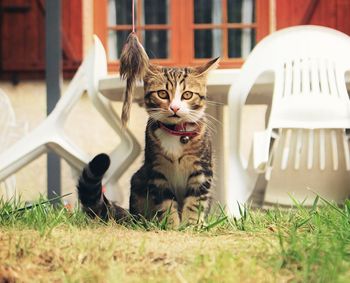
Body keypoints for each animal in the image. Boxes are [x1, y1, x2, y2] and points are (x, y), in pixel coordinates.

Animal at [78, 33, 217, 229]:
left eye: (187, 95)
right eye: (163, 94)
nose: (175, 107)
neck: (175, 133)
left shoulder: (202, 171)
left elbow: (195, 203)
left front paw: (190, 226)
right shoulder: (157, 170)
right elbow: (166, 202)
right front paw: (172, 226)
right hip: (139, 181)